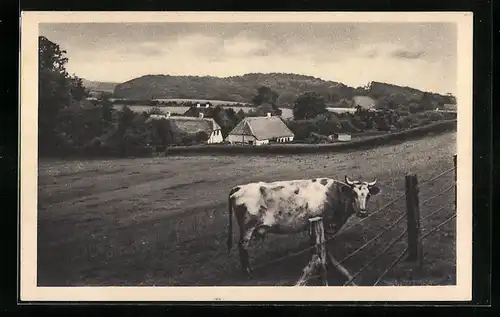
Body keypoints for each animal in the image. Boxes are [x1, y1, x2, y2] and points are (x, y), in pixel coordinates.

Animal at [226, 174, 378, 276]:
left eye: (368, 195)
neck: (333, 194)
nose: (363, 212)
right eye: (354, 194)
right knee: (242, 247)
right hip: (247, 228)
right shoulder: (323, 223)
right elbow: (321, 244)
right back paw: (247, 270)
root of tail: (239, 187)